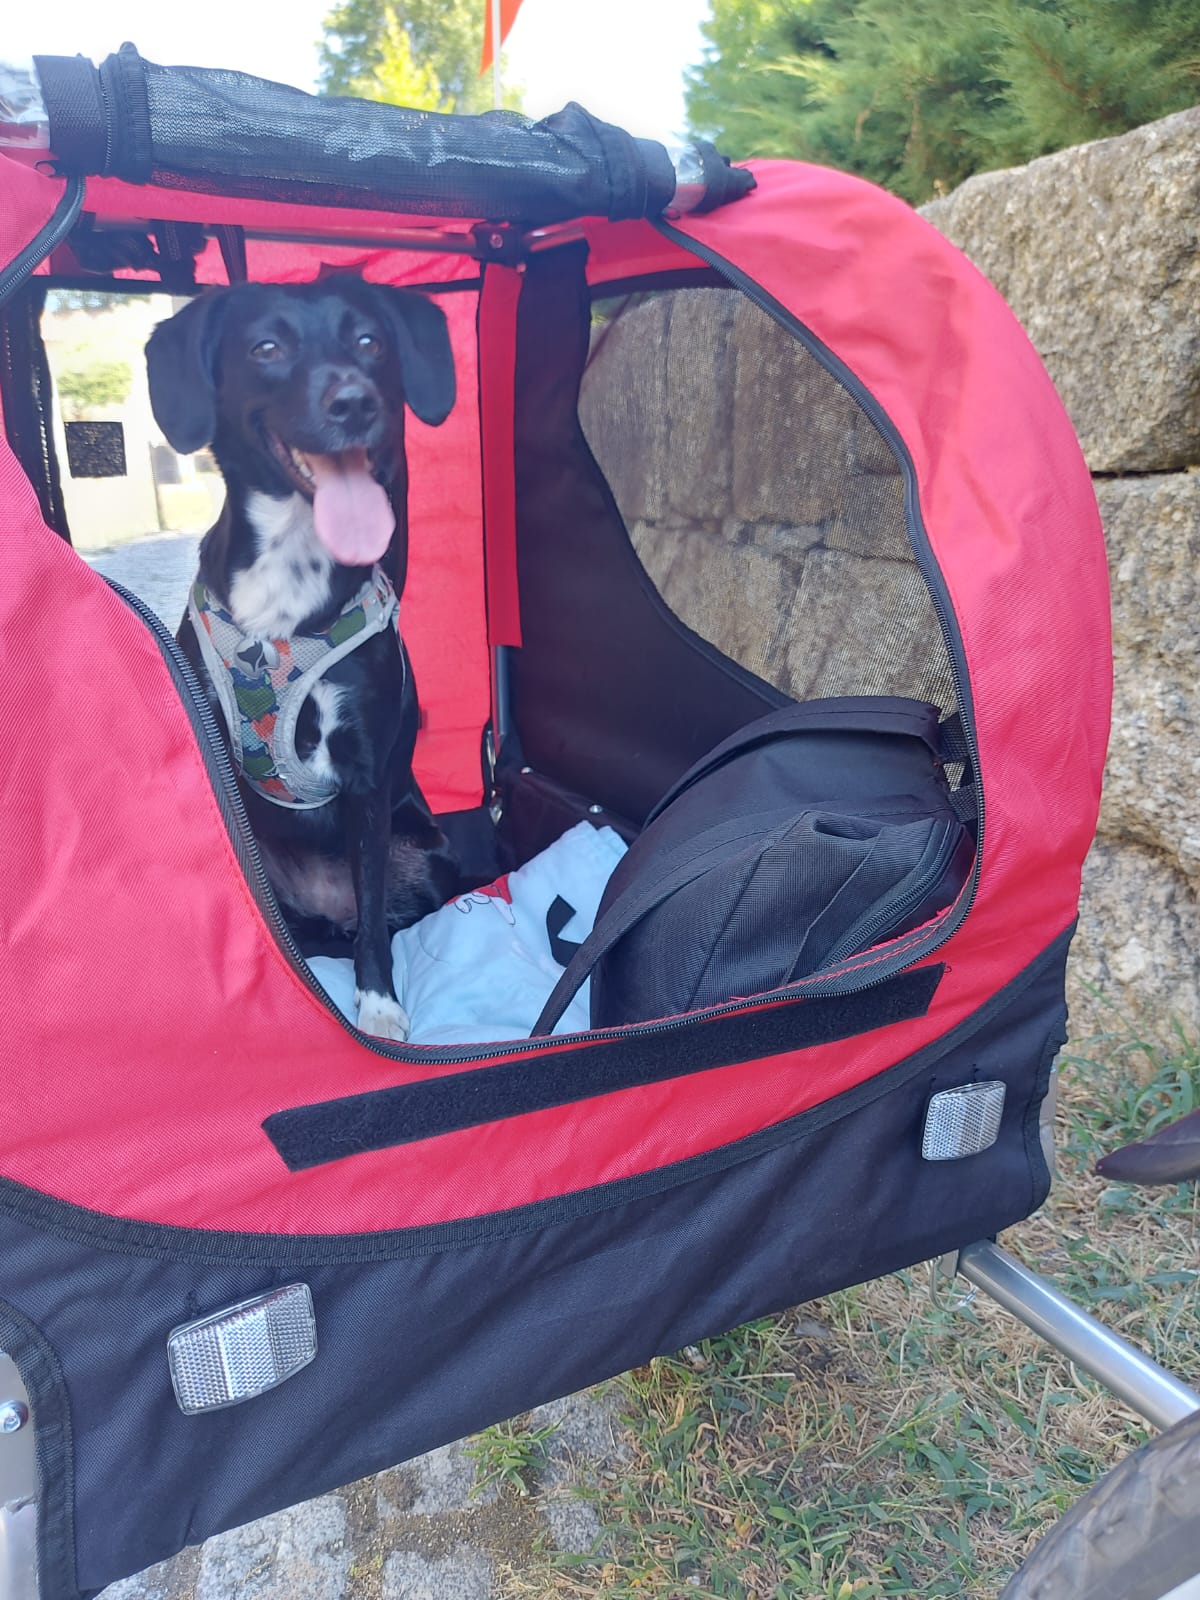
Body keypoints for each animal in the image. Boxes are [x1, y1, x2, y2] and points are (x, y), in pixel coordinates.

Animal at [146, 276, 459, 1042]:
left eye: (370, 341)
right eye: (267, 348)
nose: (355, 401)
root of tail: (325, 904)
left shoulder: (368, 777)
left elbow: (375, 922)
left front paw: (377, 1007)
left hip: (428, 856)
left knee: (377, 916)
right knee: (299, 926)